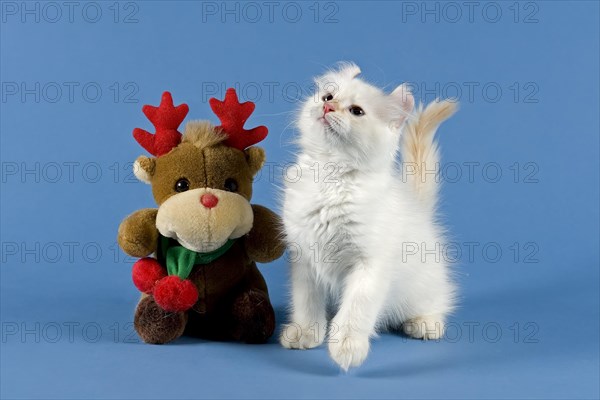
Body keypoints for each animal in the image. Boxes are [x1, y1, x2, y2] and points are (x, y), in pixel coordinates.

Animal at [282, 63, 460, 372]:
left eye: (356, 111)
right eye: (328, 96)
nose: (328, 107)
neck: (330, 176)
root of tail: (419, 211)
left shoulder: (371, 264)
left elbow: (356, 309)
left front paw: (347, 347)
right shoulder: (303, 256)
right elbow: (305, 301)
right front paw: (306, 332)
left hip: (425, 282)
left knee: (438, 300)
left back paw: (425, 323)